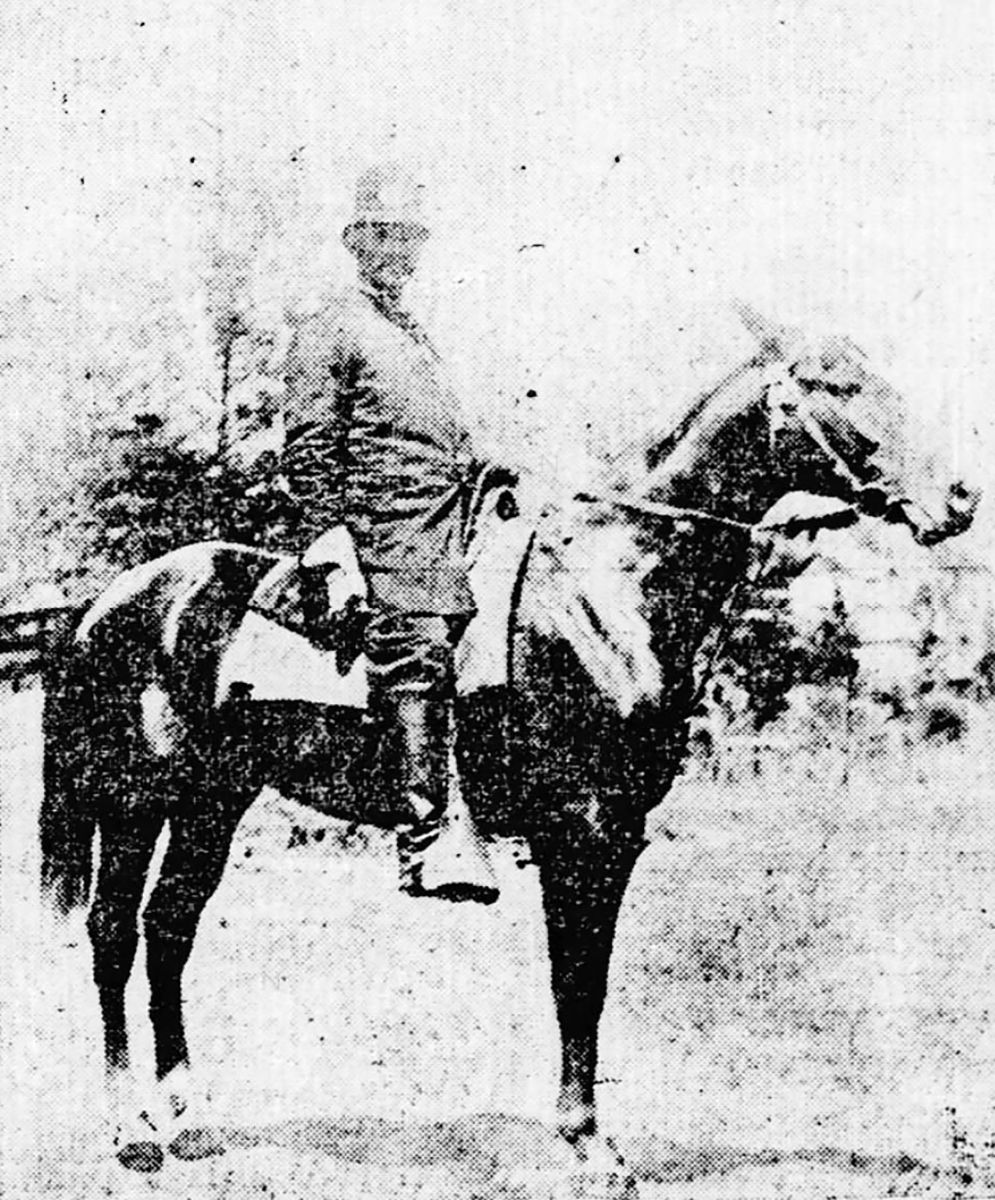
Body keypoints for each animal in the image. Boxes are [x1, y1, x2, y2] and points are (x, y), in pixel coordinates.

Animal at [36, 312, 979, 1180]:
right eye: (835, 385)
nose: (959, 500)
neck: (607, 592)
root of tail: (105, 605)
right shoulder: (582, 832)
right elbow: (577, 981)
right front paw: (589, 1144)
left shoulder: (617, 833)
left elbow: (586, 980)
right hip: (134, 801)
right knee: (114, 933)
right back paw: (130, 1132)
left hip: (213, 802)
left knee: (169, 926)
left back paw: (189, 1119)